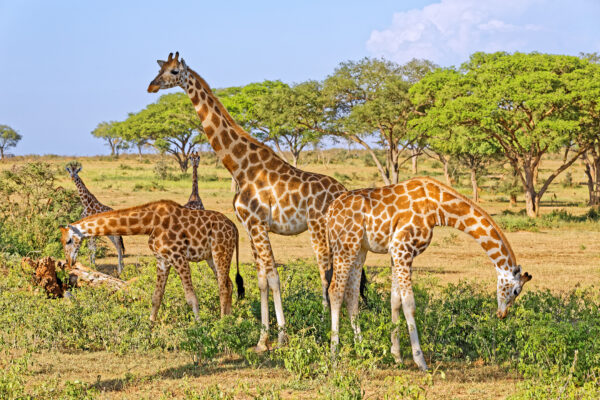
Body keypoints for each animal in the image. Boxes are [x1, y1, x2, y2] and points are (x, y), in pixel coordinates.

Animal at [59, 200, 245, 318]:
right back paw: (230, 319)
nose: (69, 262)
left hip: (220, 251)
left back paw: (222, 322)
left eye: (68, 240)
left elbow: (191, 297)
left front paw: (198, 327)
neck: (149, 223)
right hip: (211, 257)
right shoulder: (162, 259)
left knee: (223, 287)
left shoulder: (178, 256)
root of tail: (234, 228)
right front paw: (150, 327)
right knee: (228, 284)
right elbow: (156, 297)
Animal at [148, 52, 346, 350]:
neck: (241, 167)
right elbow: (262, 280)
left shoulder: (258, 224)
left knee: (328, 275)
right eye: (159, 69)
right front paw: (262, 339)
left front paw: (281, 337)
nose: (152, 86)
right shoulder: (250, 226)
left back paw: (328, 328)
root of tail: (344, 190)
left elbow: (274, 278)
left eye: (173, 71)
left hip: (320, 231)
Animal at [326, 177, 532, 370]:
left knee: (352, 295)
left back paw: (362, 349)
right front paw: (421, 361)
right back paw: (334, 356)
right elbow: (409, 304)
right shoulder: (402, 247)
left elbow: (395, 301)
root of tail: (330, 212)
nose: (502, 314)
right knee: (335, 291)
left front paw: (397, 356)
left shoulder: (397, 253)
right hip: (346, 246)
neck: (438, 208)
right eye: (516, 291)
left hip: (359, 249)